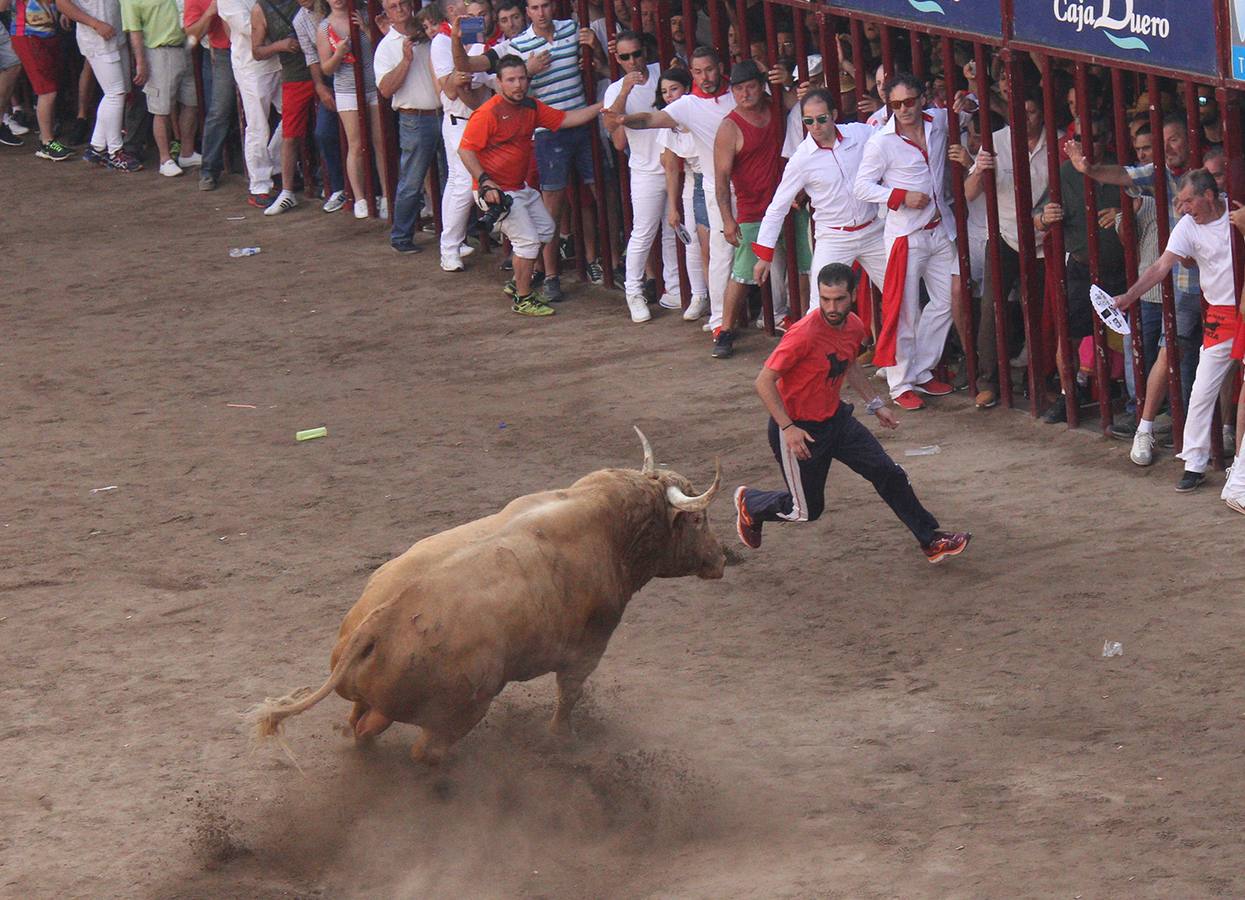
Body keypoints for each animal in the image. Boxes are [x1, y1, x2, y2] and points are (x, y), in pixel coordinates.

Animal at [249, 425, 727, 761]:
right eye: (698, 520)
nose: (722, 558)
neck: (611, 525)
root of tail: (375, 624)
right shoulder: (589, 645)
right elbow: (568, 694)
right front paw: (561, 737)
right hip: (460, 710)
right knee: (423, 750)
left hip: (378, 699)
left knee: (359, 728)